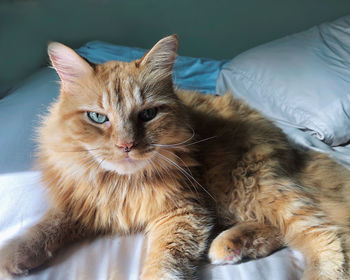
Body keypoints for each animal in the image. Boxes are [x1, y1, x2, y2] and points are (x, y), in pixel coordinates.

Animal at [0, 35, 350, 280]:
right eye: (98, 118)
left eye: (148, 115)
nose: (126, 145)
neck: (120, 183)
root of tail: (289, 144)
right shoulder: (84, 203)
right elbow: (48, 226)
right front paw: (14, 254)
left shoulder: (182, 212)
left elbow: (164, 263)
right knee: (282, 227)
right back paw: (230, 245)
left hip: (243, 185)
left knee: (325, 232)